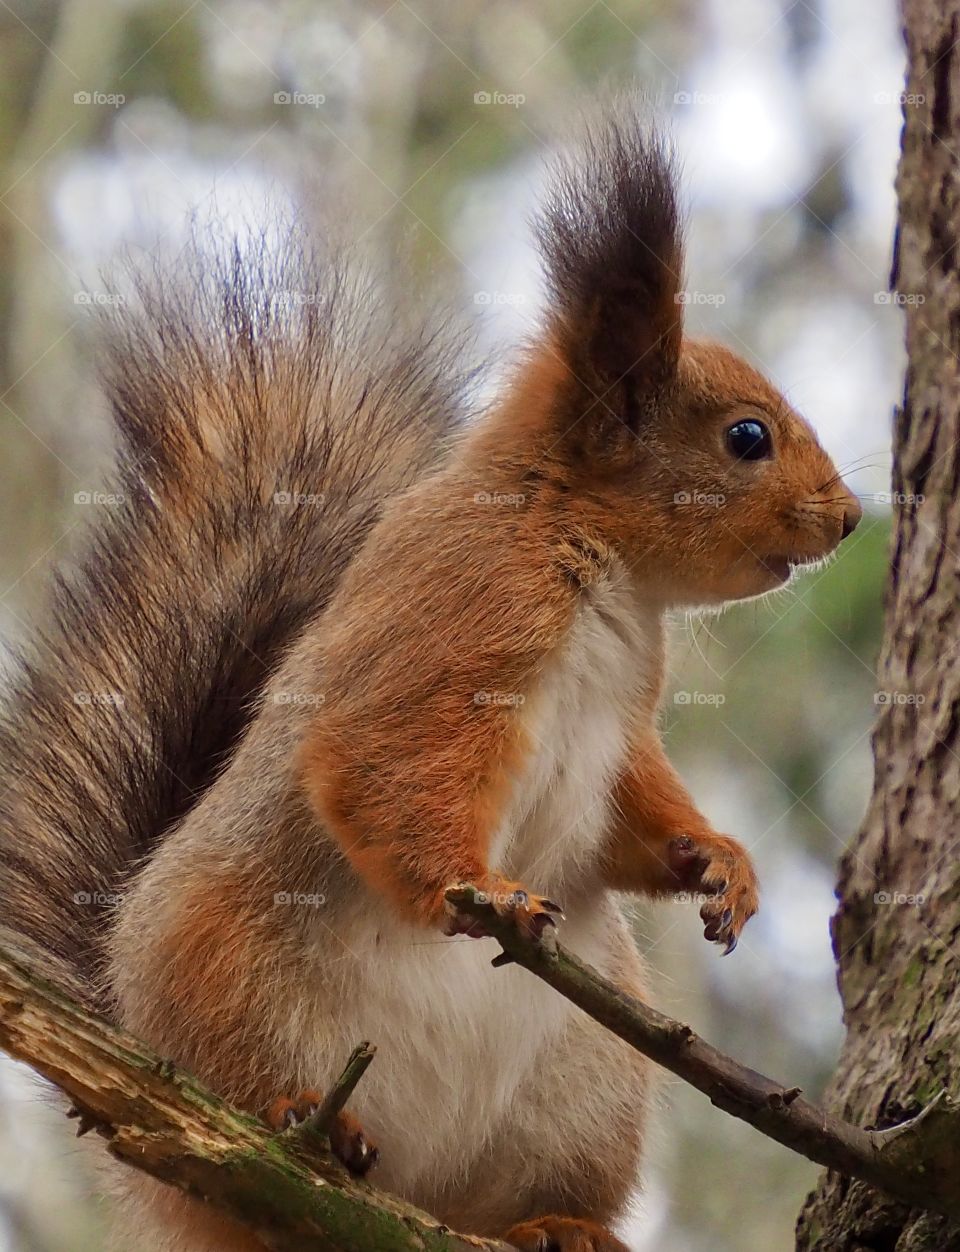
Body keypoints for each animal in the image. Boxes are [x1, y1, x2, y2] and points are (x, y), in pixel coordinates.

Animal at [0, 108, 861, 1252]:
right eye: (748, 438)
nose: (851, 520)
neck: (597, 557)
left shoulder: (620, 727)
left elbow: (629, 813)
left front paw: (717, 862)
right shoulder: (462, 617)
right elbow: (376, 759)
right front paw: (479, 887)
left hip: (588, 1084)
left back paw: (559, 1224)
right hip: (227, 979)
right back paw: (300, 1128)